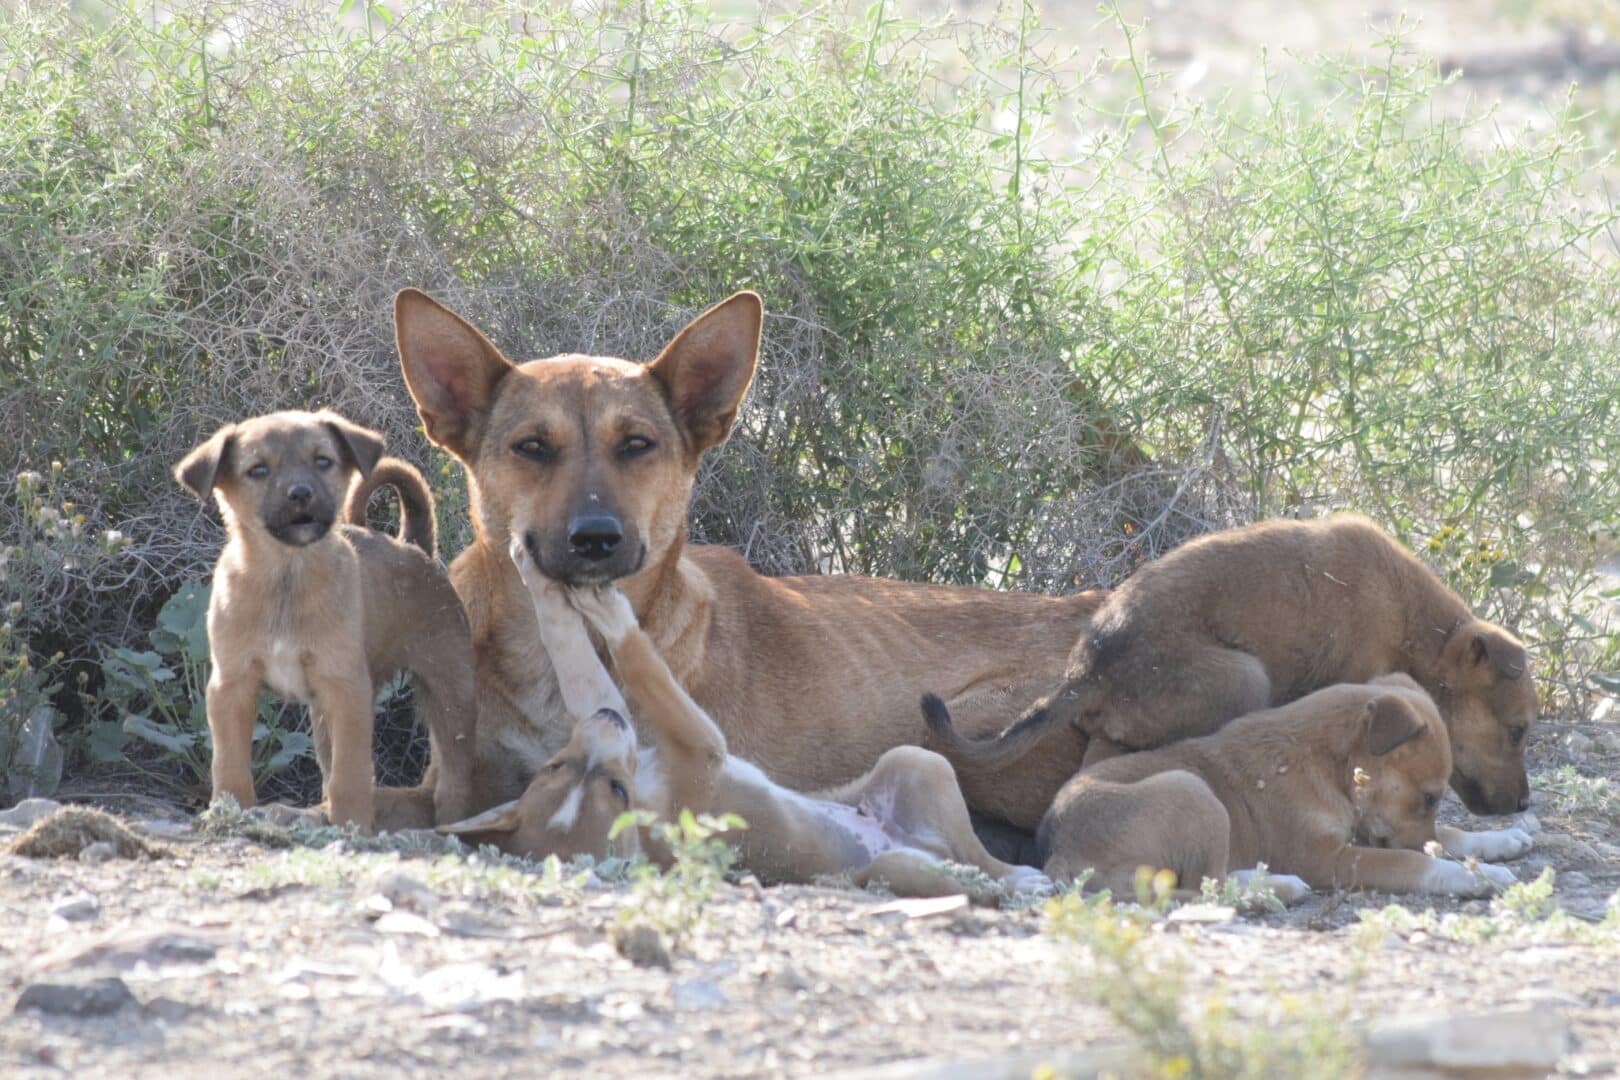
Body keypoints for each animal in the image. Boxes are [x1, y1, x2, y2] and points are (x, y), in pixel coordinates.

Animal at [181, 409, 479, 835]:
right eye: (257, 469)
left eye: (323, 460)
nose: (300, 493)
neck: (286, 579)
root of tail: (413, 547)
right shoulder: (231, 686)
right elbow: (230, 764)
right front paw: (229, 812)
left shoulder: (345, 690)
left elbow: (350, 774)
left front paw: (352, 825)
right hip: (324, 717)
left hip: (449, 694)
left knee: (454, 778)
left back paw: (452, 825)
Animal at [392, 286, 1101, 829]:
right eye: (532, 446)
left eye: (637, 444)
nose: (595, 537)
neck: (556, 651)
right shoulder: (457, 784)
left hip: (962, 721)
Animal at [440, 540, 1049, 906]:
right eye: (615, 791)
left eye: (555, 764)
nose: (609, 723)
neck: (649, 795)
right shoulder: (700, 742)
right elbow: (637, 652)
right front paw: (607, 606)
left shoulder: (607, 701)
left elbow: (568, 645)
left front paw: (540, 579)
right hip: (920, 821)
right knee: (983, 867)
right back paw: (1027, 879)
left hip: (912, 759)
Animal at [926, 680, 1516, 900]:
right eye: (1429, 796)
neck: (1326, 763)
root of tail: (1061, 856)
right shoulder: (1327, 858)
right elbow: (1404, 861)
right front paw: (1464, 876)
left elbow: (1452, 836)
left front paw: (1497, 845)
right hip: (1193, 793)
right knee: (1205, 884)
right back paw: (1273, 886)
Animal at [933, 518, 1535, 829]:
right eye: (1518, 730)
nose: (1526, 805)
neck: (1419, 627)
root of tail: (1089, 666)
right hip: (1247, 677)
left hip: (1117, 732)